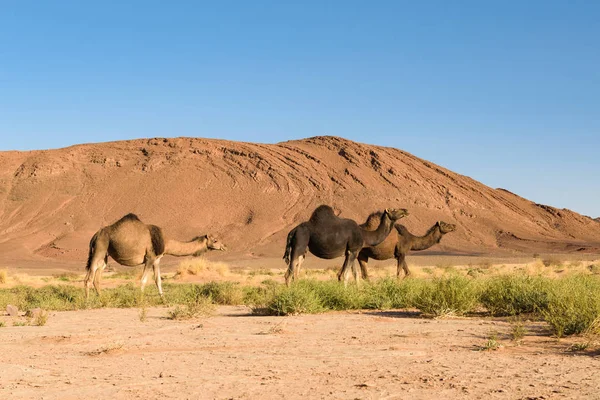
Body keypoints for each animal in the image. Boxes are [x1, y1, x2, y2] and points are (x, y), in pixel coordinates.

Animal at [83, 214, 226, 298]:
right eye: (215, 240)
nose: (224, 246)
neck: (165, 241)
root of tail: (94, 236)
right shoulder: (149, 258)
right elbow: (144, 280)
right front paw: (140, 300)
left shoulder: (157, 260)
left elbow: (158, 280)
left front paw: (163, 299)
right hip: (99, 249)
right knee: (89, 278)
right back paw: (88, 301)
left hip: (105, 255)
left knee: (97, 276)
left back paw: (102, 298)